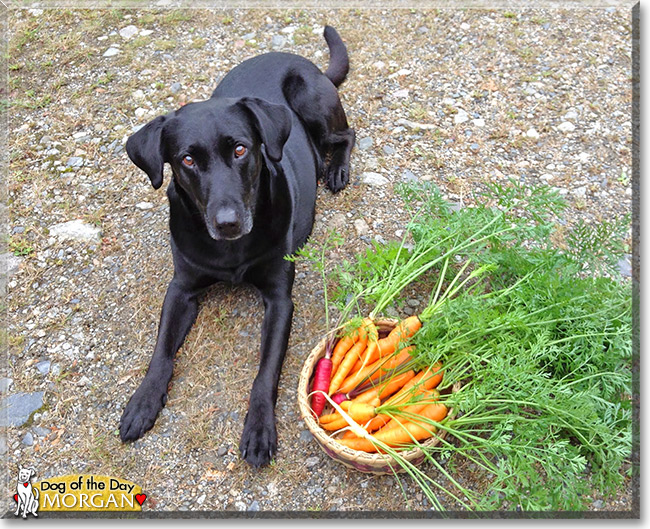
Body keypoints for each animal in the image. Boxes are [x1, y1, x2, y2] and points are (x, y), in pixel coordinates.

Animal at [121, 26, 354, 464]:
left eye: (241, 149)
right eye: (187, 160)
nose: (227, 222)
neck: (231, 253)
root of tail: (297, 57)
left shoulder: (280, 300)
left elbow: (265, 372)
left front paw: (260, 428)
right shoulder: (181, 289)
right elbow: (161, 351)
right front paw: (143, 401)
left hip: (313, 103)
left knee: (347, 135)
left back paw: (337, 169)